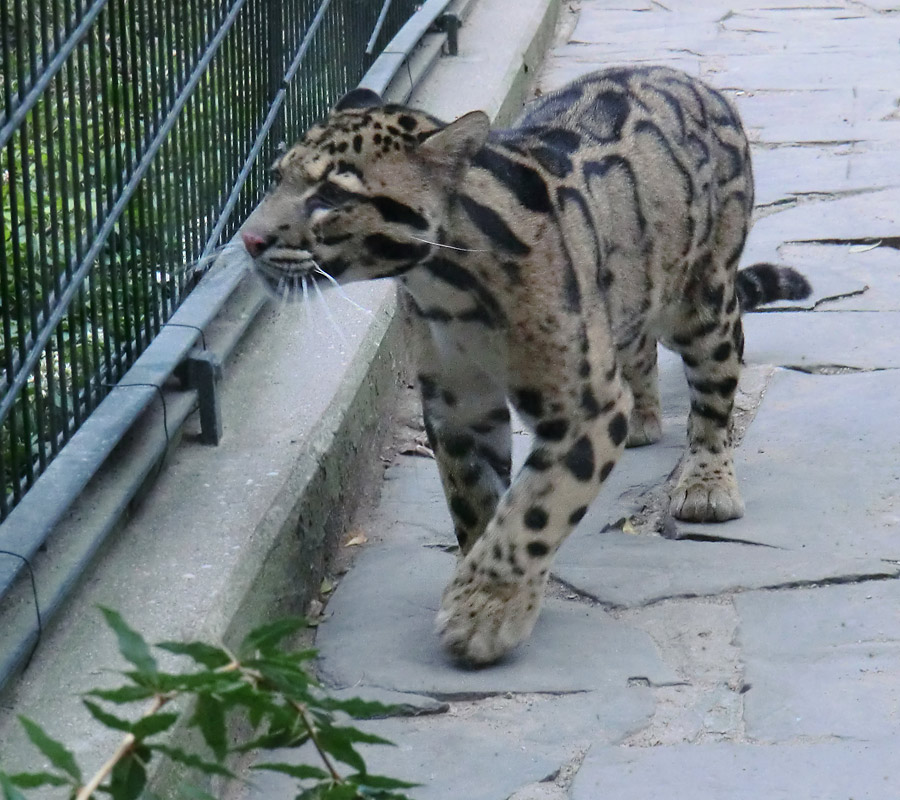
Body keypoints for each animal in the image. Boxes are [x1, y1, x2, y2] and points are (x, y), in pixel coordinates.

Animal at [243, 64, 812, 664]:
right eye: (276, 177)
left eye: (331, 194)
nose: (250, 239)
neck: (448, 288)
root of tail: (692, 79)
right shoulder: (457, 406)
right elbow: (475, 504)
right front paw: (479, 582)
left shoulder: (584, 406)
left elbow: (532, 511)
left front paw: (484, 611)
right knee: (638, 344)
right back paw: (644, 419)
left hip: (705, 296)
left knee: (714, 393)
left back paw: (706, 482)